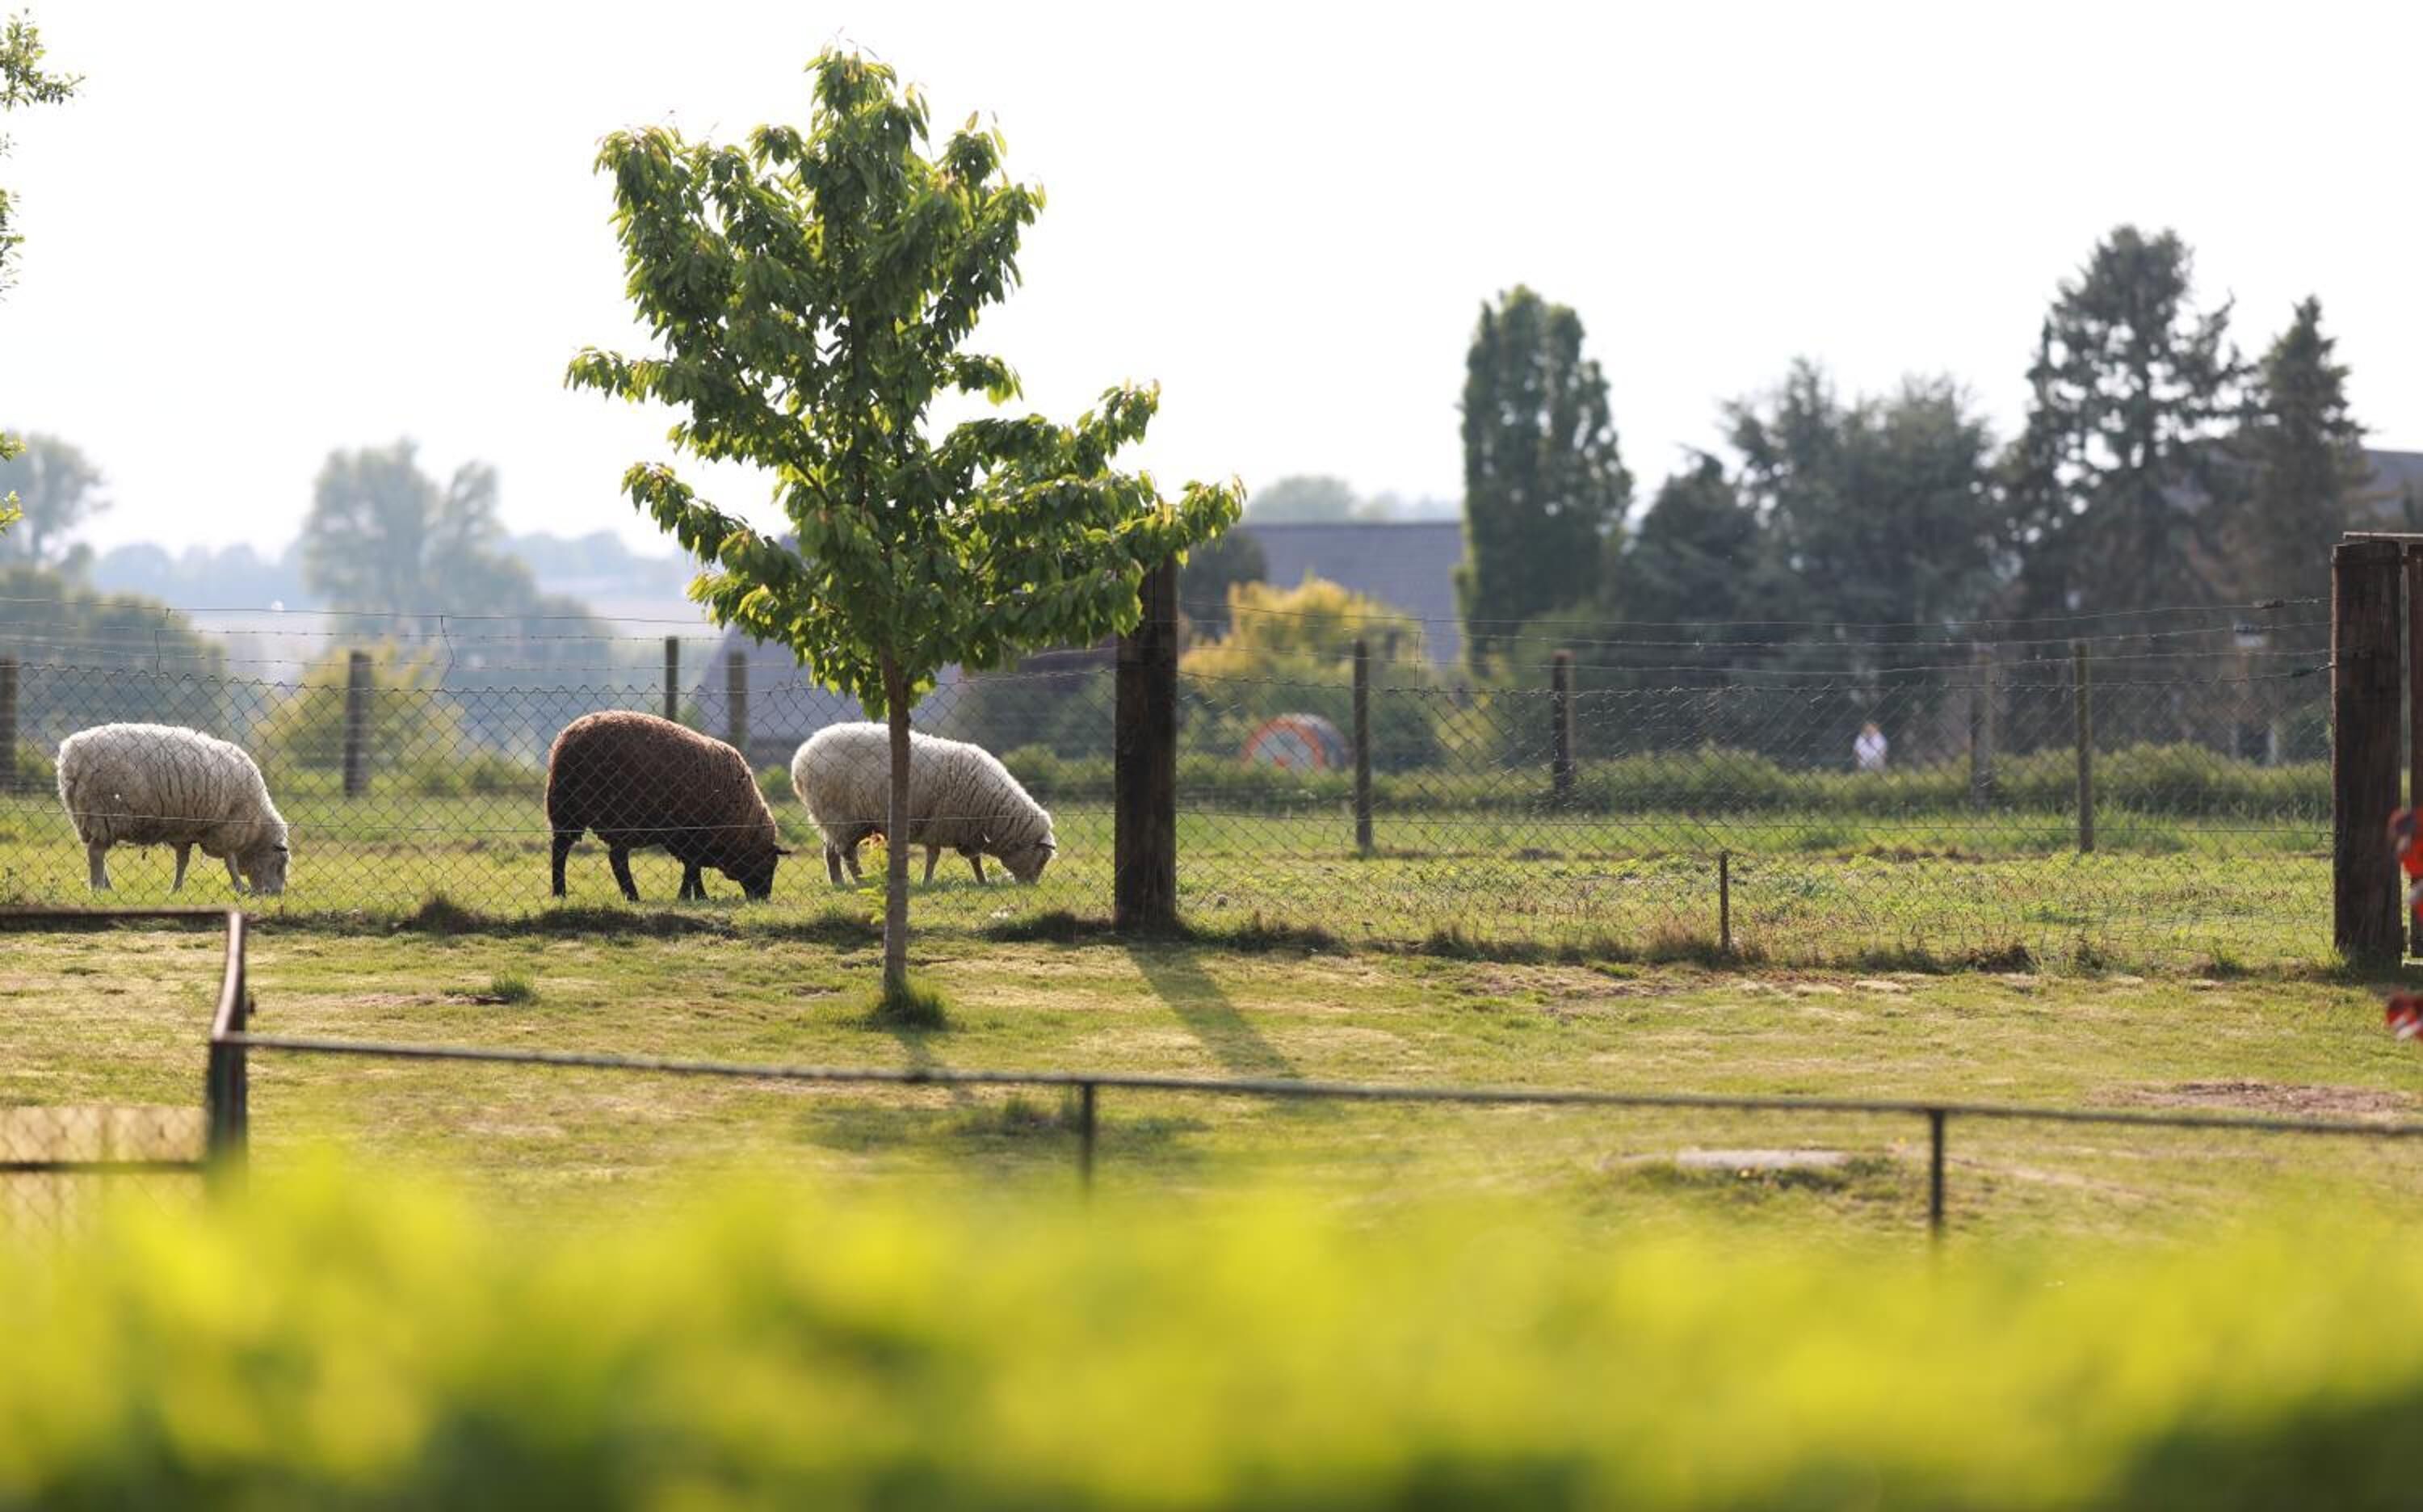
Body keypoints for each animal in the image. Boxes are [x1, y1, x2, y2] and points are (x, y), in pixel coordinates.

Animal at [55, 723, 290, 895]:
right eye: (280, 864)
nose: (275, 894)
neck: (257, 827)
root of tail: (71, 757)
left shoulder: (184, 830)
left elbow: (183, 861)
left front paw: (175, 889)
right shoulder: (229, 828)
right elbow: (230, 861)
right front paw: (241, 889)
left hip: (84, 815)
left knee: (97, 850)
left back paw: (108, 887)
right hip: (105, 812)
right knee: (96, 852)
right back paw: (98, 889)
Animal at [545, 710, 789, 902]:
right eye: (770, 865)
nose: (763, 899)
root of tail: (570, 741)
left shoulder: (684, 838)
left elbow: (692, 868)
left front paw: (696, 896)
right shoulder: (694, 835)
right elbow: (692, 868)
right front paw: (691, 896)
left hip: (566, 810)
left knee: (561, 849)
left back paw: (560, 893)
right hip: (618, 815)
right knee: (616, 858)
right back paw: (632, 896)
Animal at [789, 722, 1055, 887]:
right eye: (1042, 858)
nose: (1031, 887)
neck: (993, 813)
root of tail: (801, 757)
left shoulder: (968, 830)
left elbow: (975, 859)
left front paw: (982, 882)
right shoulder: (940, 823)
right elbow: (934, 857)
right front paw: (927, 882)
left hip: (844, 821)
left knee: (831, 851)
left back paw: (839, 883)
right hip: (841, 816)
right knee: (847, 853)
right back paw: (860, 882)